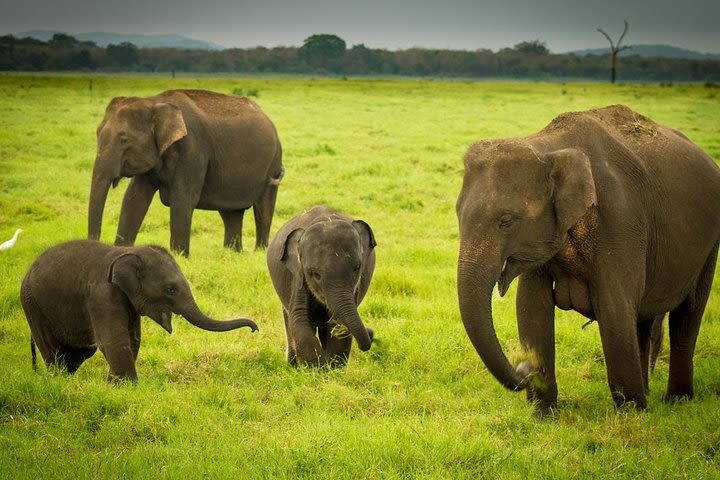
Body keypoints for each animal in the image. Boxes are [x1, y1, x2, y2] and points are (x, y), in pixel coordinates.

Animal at [21, 240, 258, 382]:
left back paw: (67, 378)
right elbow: (114, 339)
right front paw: (125, 386)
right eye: (170, 289)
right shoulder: (102, 295)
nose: (254, 329)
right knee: (52, 348)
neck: (129, 251)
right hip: (32, 304)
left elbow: (133, 339)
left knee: (79, 351)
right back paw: (58, 378)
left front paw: (114, 384)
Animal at [88, 88, 284, 256]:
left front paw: (180, 256)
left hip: (274, 162)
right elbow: (133, 199)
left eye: (123, 139)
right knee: (231, 213)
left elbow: (183, 197)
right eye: (96, 134)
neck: (154, 102)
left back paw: (260, 252)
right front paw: (122, 251)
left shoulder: (193, 150)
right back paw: (233, 253)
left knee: (263, 210)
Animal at [264, 206, 376, 368]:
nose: (371, 332)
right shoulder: (298, 275)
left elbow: (337, 324)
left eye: (357, 268)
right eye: (315, 274)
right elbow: (299, 319)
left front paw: (331, 369)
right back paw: (292, 366)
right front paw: (319, 369)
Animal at [456, 107, 720, 414]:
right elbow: (531, 307)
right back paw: (650, 395)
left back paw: (676, 401)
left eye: (506, 221)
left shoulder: (620, 222)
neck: (549, 148)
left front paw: (630, 414)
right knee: (644, 318)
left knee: (688, 313)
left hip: (709, 244)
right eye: (457, 214)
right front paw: (543, 414)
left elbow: (614, 308)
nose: (524, 367)